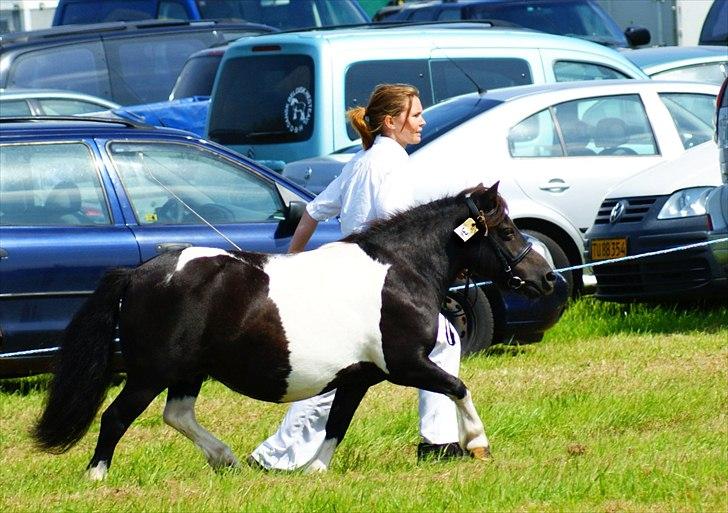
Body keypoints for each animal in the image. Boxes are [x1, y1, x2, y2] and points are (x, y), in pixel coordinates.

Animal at [32, 182, 556, 478]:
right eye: (506, 230)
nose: (547, 277)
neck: (400, 271)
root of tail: (137, 274)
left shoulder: (358, 377)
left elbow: (337, 423)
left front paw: (315, 472)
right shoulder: (406, 364)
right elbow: (458, 386)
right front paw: (477, 443)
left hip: (187, 373)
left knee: (176, 415)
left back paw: (227, 460)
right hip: (150, 373)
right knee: (115, 418)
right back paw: (97, 477)